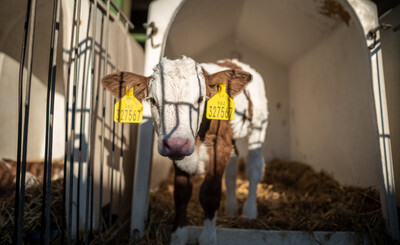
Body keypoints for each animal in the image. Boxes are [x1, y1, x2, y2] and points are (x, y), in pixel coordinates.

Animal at [101, 56, 268, 244]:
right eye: (152, 100)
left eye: (201, 99)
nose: (176, 143)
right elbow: (181, 193)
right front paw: (179, 235)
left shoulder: (221, 145)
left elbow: (210, 192)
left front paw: (208, 238)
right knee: (232, 171)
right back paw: (231, 209)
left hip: (258, 127)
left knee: (254, 168)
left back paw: (249, 212)